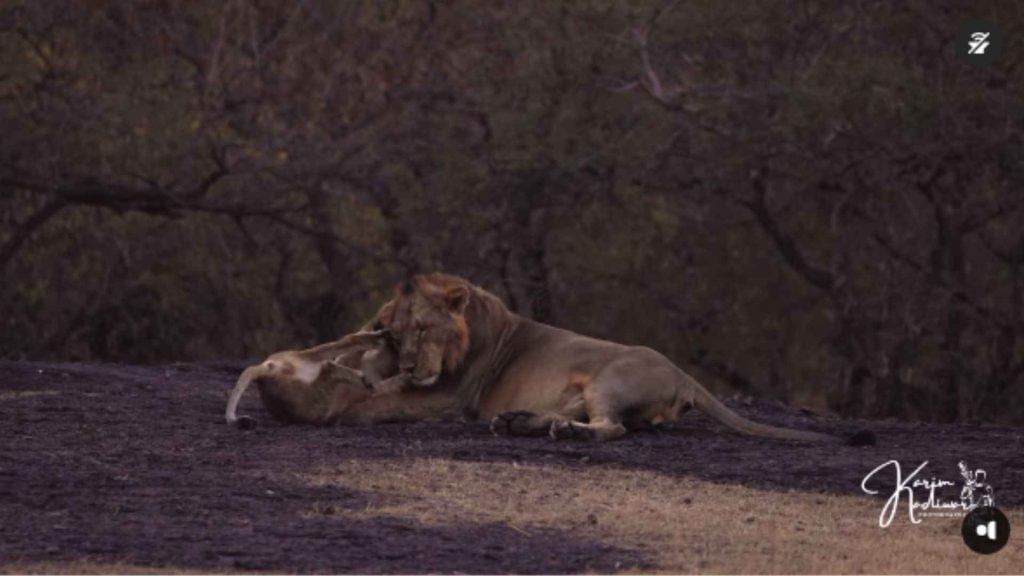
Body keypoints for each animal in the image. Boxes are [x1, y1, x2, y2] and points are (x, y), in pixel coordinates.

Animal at [364, 273, 876, 444]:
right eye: (396, 336)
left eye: (423, 329)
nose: (408, 365)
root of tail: (683, 375)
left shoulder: (450, 397)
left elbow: (384, 396)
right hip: (584, 391)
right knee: (589, 418)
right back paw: (519, 422)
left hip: (607, 379)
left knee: (613, 429)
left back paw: (563, 432)